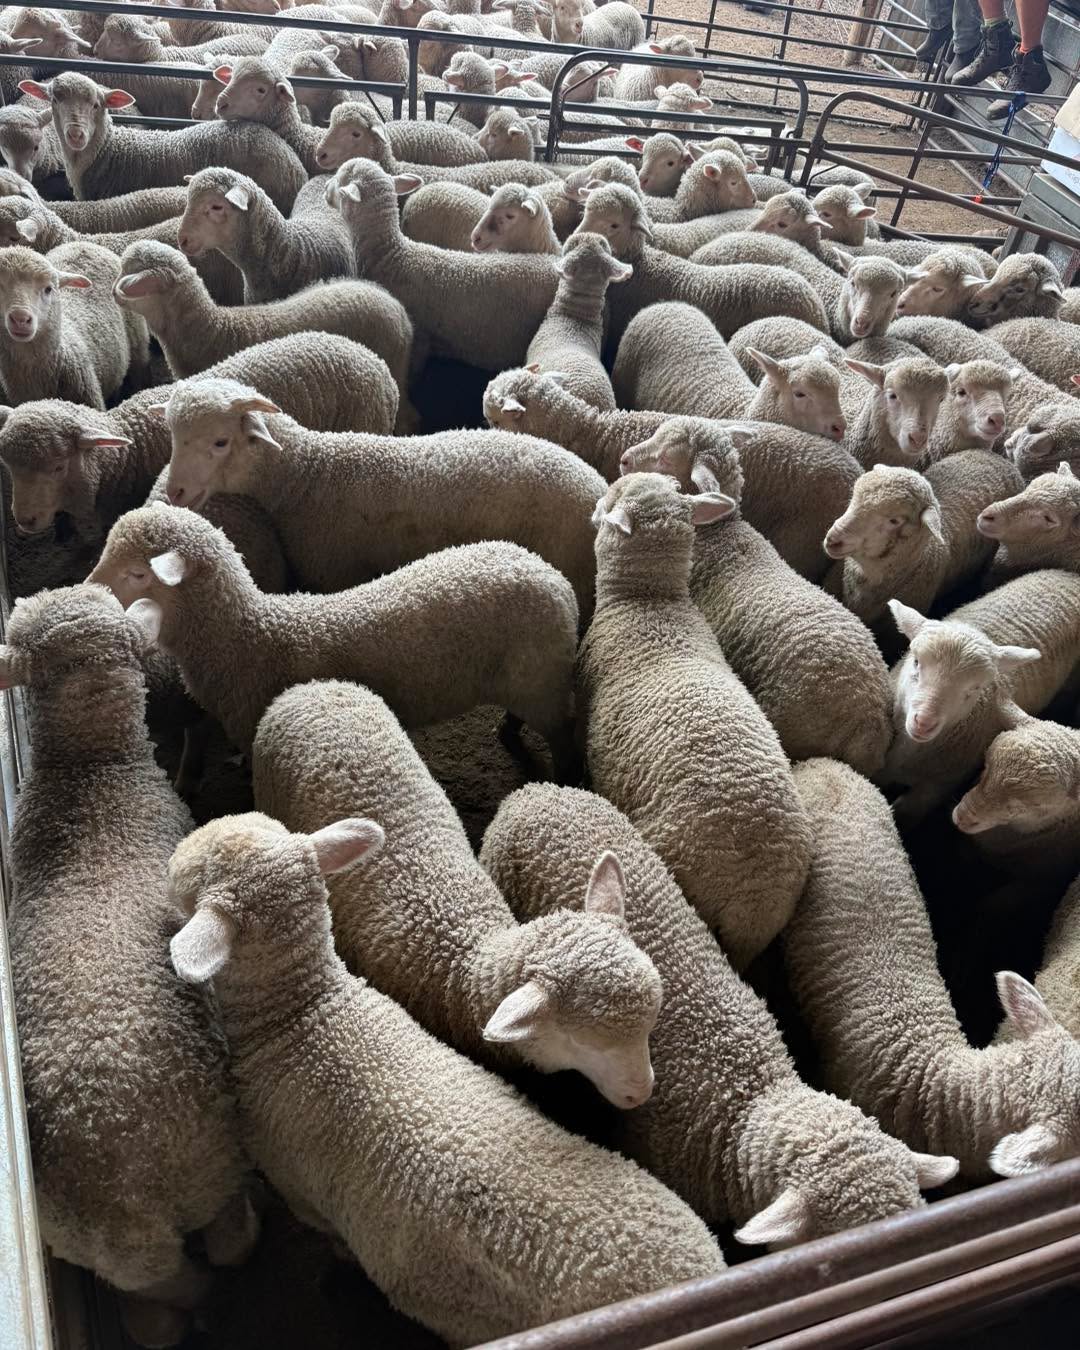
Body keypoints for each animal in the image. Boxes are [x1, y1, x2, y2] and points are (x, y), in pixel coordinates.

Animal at [3, 584, 251, 1348]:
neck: (93, 773)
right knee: (213, 1253)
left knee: (176, 1280)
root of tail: (129, 1190)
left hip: (144, 1227)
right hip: (204, 1164)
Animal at [90, 509, 580, 766]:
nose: (87, 592)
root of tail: (556, 580)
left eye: (138, 574)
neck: (248, 639)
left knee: (563, 735)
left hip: (540, 679)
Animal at [158, 375, 605, 613]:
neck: (309, 475)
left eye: (220, 442)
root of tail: (598, 488)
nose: (175, 491)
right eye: (173, 438)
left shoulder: (335, 572)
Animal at [882, 574, 1080, 827]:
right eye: (916, 661)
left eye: (975, 688)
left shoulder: (937, 787)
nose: (924, 723)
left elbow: (905, 813)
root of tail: (1071, 577)